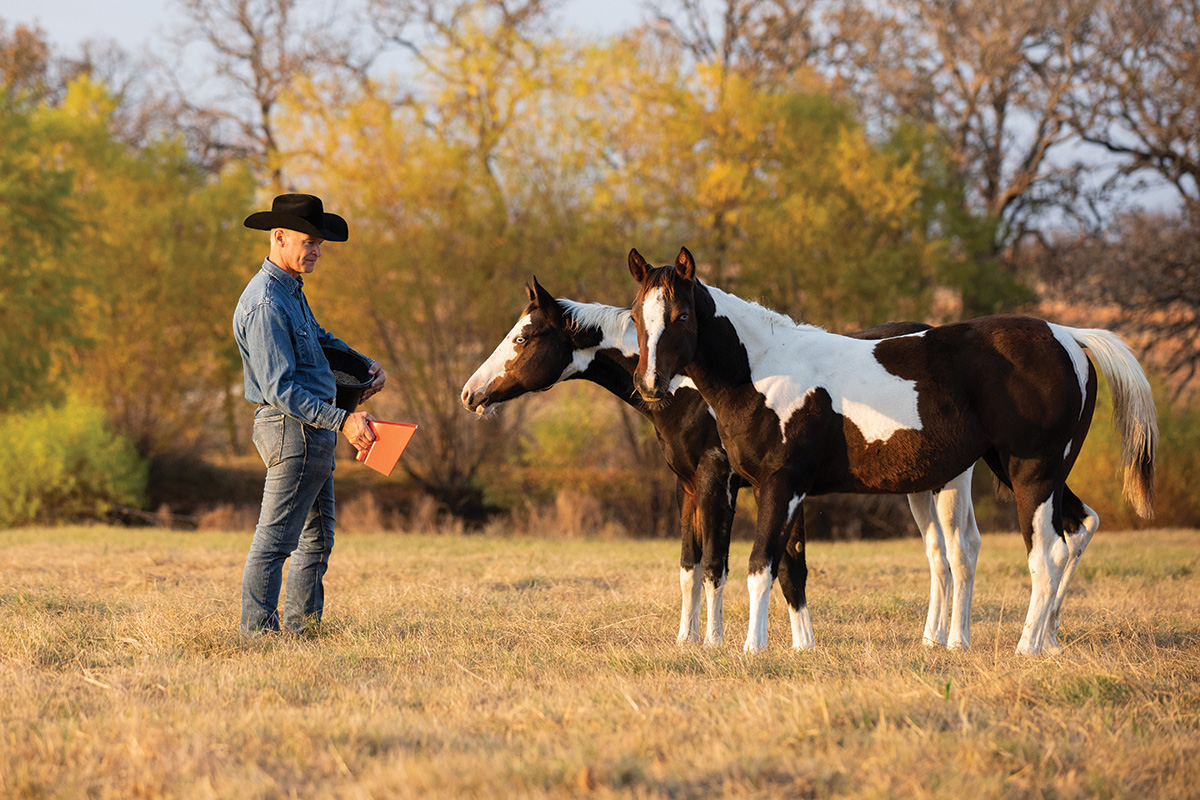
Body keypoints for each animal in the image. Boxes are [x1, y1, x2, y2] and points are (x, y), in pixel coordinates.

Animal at [460, 275, 984, 652]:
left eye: (523, 337)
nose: (470, 394)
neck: (689, 386)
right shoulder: (692, 486)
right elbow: (702, 566)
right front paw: (699, 640)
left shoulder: (723, 482)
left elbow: (720, 563)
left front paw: (715, 642)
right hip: (919, 485)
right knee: (938, 555)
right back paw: (932, 638)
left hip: (950, 482)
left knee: (960, 550)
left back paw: (953, 640)